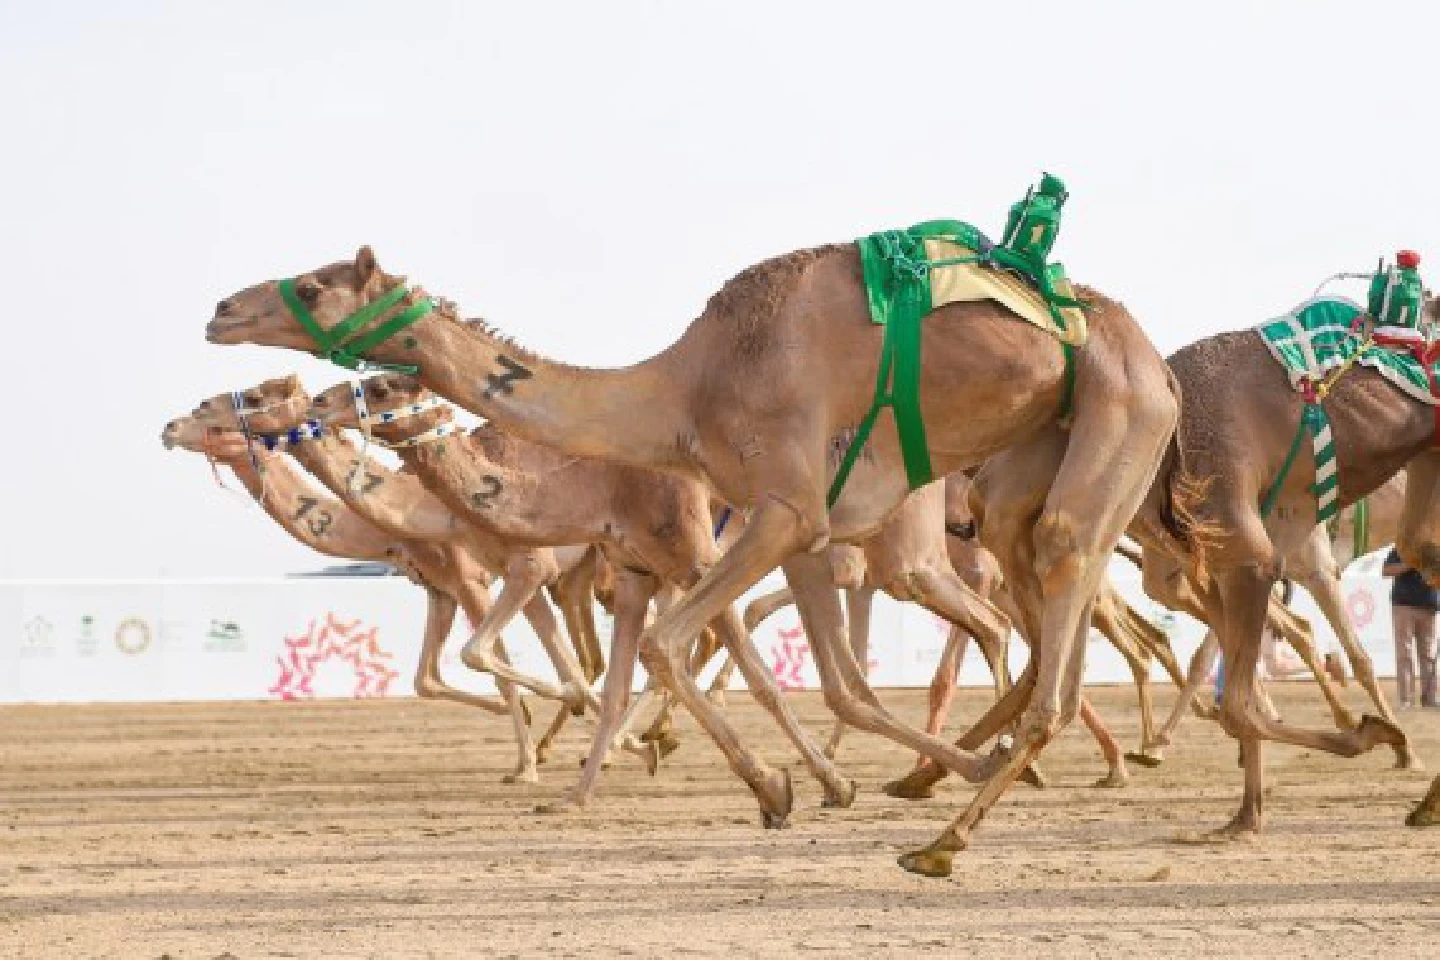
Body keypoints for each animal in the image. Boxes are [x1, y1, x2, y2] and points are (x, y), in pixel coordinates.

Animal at [158, 406, 544, 781]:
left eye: (218, 424)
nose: (169, 428)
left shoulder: (470, 580)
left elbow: (493, 665)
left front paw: (524, 763)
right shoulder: (439, 587)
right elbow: (425, 679)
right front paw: (518, 719)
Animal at [206, 238, 1179, 878]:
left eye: (312, 284)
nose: (221, 308)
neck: (681, 389)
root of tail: (1155, 358)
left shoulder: (779, 507)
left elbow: (678, 645)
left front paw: (777, 787)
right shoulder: (806, 529)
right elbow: (836, 685)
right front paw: (820, 782)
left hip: (1118, 409)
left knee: (1060, 571)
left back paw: (951, 835)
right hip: (1026, 460)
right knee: (1034, 577)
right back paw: (976, 773)